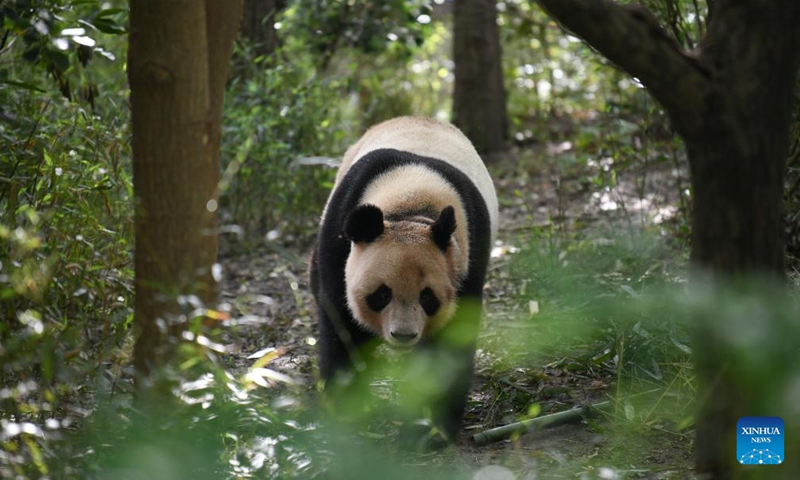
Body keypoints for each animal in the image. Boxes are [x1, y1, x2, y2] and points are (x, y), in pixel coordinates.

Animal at [310, 118, 496, 448]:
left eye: (427, 297)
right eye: (381, 294)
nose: (404, 335)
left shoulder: (467, 259)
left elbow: (450, 346)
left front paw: (429, 432)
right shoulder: (339, 234)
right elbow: (342, 327)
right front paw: (345, 414)